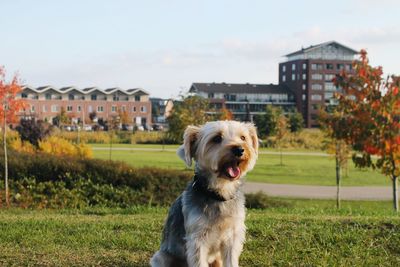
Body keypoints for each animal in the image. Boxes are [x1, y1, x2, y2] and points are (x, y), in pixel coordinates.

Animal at [151, 122, 260, 267]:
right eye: (216, 138)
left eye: (243, 137)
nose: (239, 149)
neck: (220, 194)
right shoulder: (197, 240)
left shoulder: (233, 235)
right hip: (161, 257)